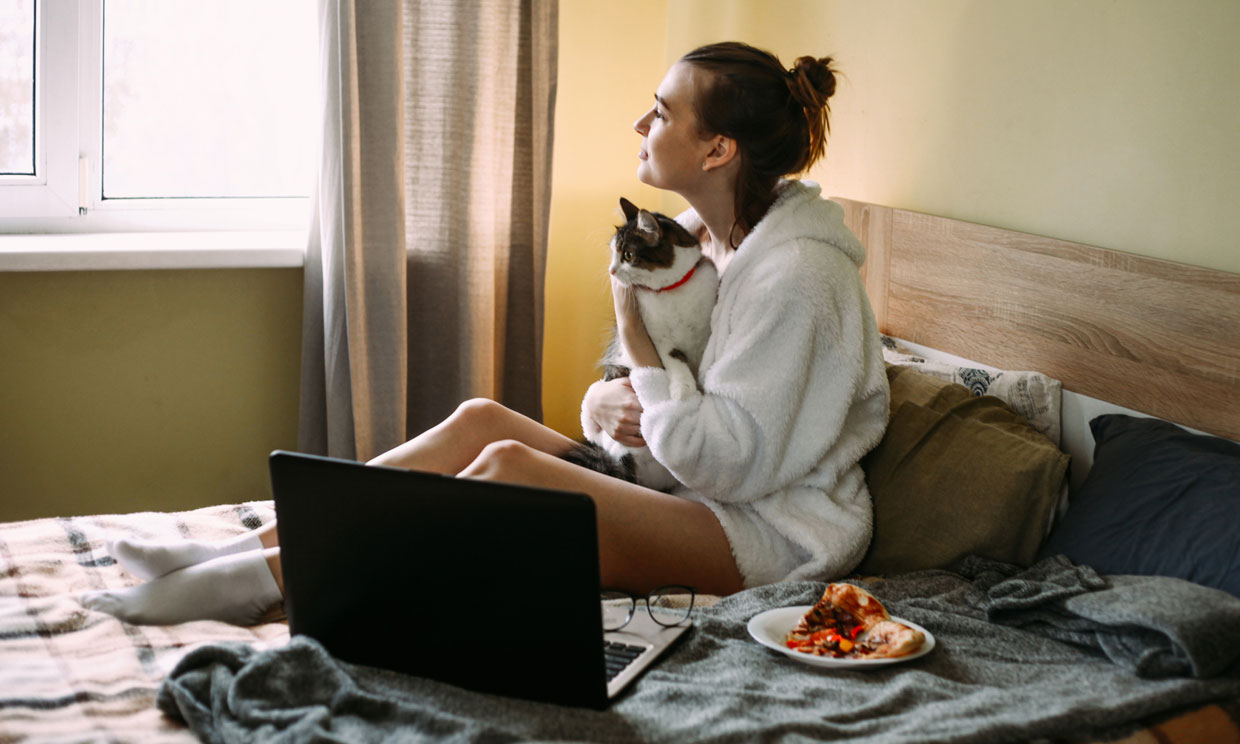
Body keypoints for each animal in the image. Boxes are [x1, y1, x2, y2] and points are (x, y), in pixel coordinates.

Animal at [562, 195, 719, 493]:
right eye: (614, 253)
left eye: (628, 256)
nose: (611, 270)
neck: (672, 291)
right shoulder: (658, 335)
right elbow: (675, 359)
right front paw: (683, 389)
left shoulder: (706, 321)